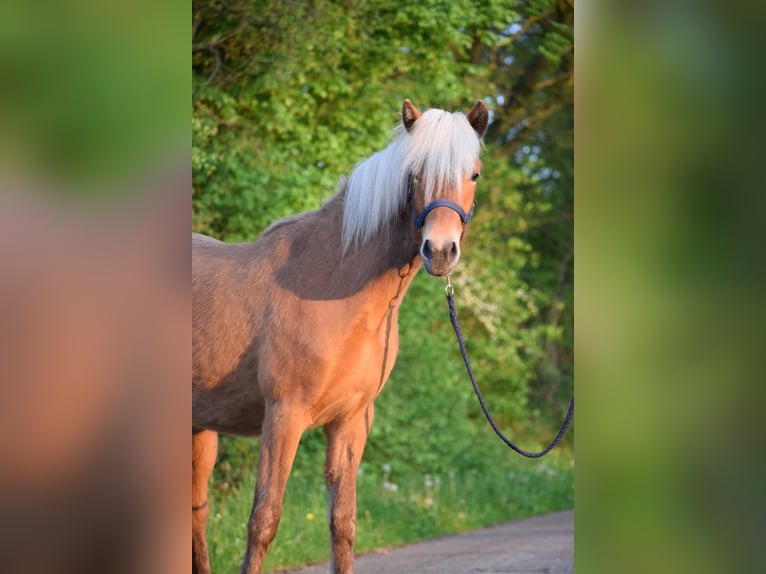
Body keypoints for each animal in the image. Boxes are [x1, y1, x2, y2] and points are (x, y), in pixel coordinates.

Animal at [195, 99, 488, 574]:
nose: (440, 251)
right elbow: (264, 520)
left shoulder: (351, 422)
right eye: (414, 173)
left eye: (474, 174)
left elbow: (343, 524)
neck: (333, 288)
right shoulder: (283, 417)